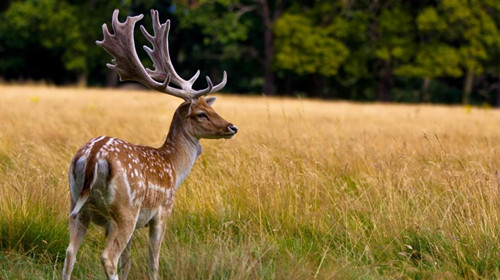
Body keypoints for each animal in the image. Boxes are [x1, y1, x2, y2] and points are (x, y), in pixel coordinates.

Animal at [63, 9, 238, 278]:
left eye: (212, 108)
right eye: (201, 114)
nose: (232, 127)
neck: (174, 167)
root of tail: (93, 156)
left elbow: (127, 262)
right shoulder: (162, 211)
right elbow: (152, 261)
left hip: (76, 205)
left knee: (70, 252)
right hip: (126, 208)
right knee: (107, 257)